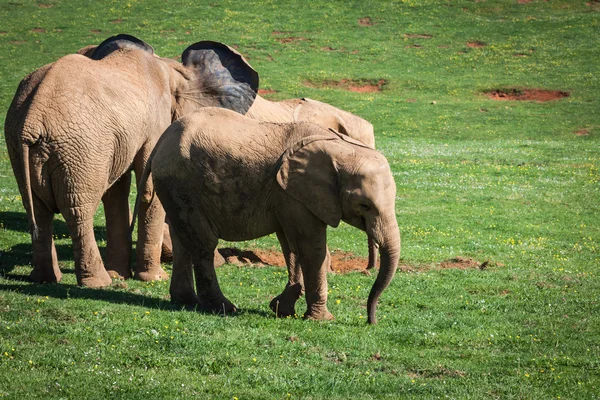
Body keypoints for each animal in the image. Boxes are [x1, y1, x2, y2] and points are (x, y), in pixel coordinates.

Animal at [4, 32, 258, 286]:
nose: (221, 262)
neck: (171, 69)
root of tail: (33, 117)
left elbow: (117, 192)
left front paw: (121, 274)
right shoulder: (155, 124)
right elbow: (149, 190)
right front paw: (155, 279)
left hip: (21, 143)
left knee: (38, 210)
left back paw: (46, 280)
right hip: (79, 148)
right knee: (78, 211)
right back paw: (99, 283)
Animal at [136, 107, 398, 324]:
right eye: (364, 205)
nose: (371, 321)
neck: (342, 148)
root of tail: (161, 140)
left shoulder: (287, 196)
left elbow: (291, 246)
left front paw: (282, 309)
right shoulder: (293, 194)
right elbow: (311, 248)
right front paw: (321, 320)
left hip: (173, 186)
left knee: (183, 239)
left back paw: (185, 301)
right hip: (183, 183)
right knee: (203, 244)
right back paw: (223, 308)